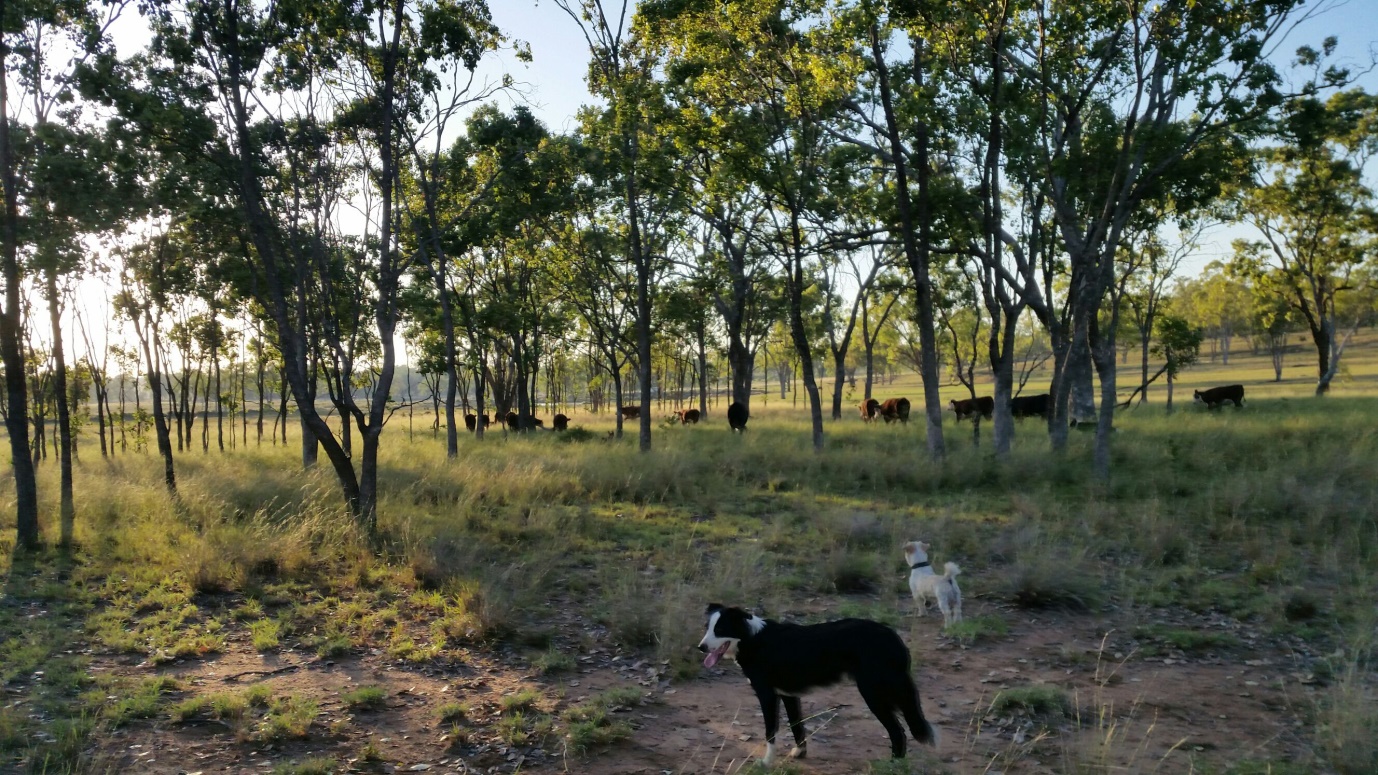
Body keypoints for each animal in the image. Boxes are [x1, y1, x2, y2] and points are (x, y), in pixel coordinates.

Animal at [700, 604, 937, 761]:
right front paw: (800, 752)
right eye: (707, 628)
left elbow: (770, 732)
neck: (752, 639)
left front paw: (766, 762)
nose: (700, 647)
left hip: (874, 693)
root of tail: (894, 638)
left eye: (720, 630)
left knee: (898, 732)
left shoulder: (767, 695)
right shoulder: (788, 695)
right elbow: (796, 725)